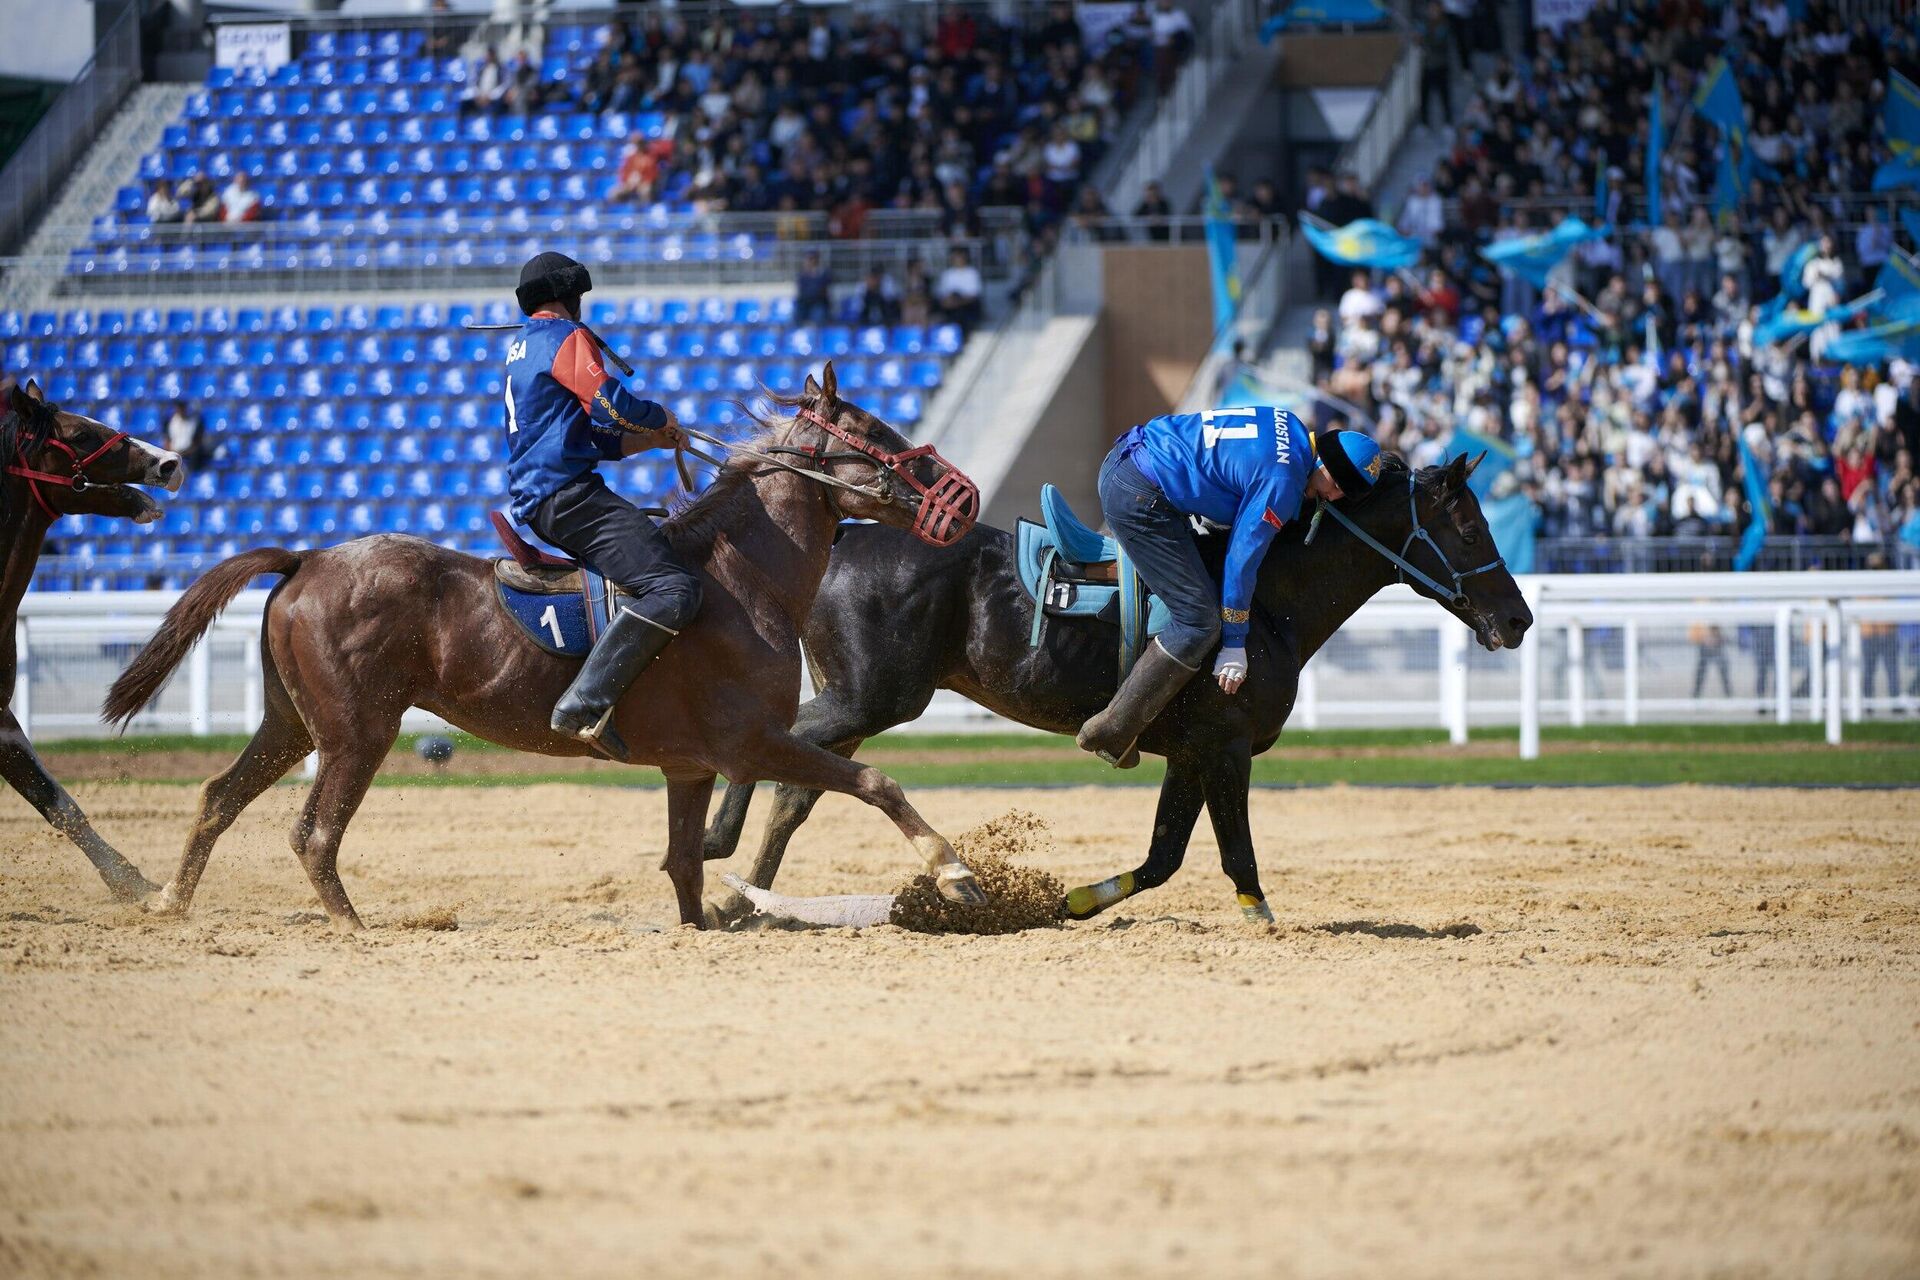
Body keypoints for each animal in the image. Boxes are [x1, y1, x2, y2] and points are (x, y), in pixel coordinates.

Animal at [108, 368, 990, 932]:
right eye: (874, 433)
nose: (964, 495)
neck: (742, 579)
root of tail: (309, 558)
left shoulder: (690, 767)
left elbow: (684, 865)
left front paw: (702, 923)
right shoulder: (753, 743)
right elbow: (874, 782)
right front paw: (954, 873)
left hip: (292, 723)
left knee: (219, 796)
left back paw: (169, 902)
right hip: (358, 733)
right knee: (314, 835)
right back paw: (352, 926)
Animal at [702, 452, 1528, 921]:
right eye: (1468, 527)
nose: (1517, 618)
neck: (1265, 599)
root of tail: (841, 536)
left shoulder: (1191, 752)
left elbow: (1163, 859)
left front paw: (1069, 902)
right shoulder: (1226, 746)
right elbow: (1236, 857)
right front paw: (1262, 920)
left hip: (859, 703)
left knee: (798, 789)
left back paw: (744, 898)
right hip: (872, 697)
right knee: (776, 750)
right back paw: (723, 854)